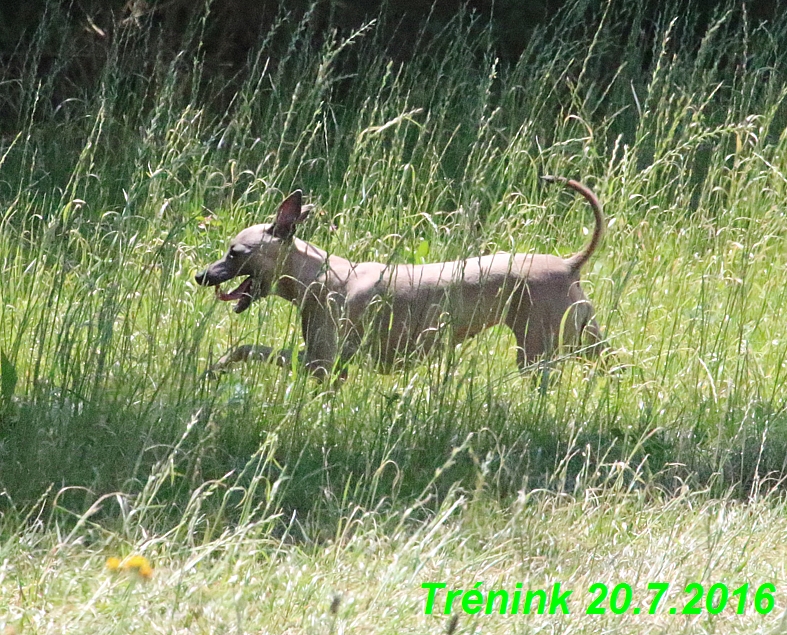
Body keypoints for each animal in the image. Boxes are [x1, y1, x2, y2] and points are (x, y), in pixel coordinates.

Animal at [195, 175, 604, 382]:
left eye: (234, 252)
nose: (201, 275)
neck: (320, 274)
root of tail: (569, 264)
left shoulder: (321, 364)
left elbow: (248, 348)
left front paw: (214, 370)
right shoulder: (329, 365)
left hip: (536, 353)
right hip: (589, 341)